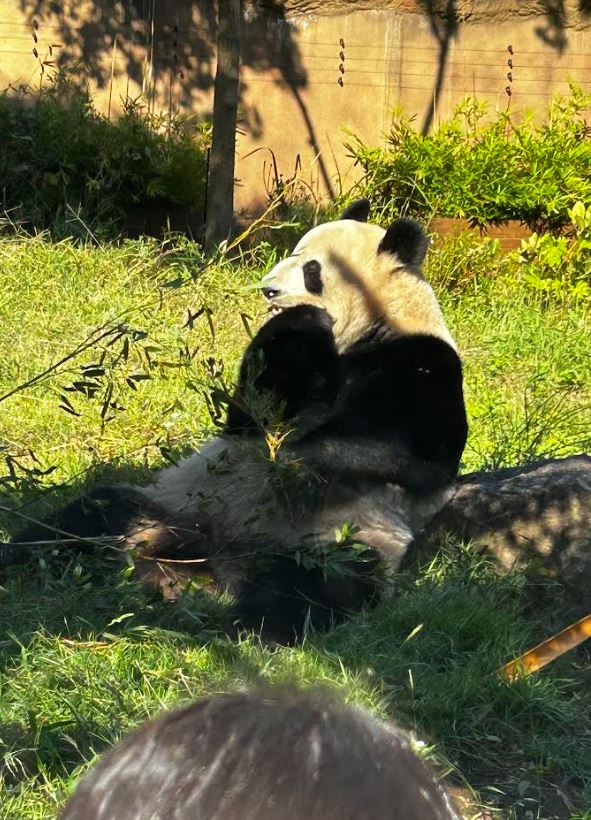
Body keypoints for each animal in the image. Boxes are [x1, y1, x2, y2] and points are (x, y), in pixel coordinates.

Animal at [11, 202, 470, 644]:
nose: (269, 289)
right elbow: (251, 414)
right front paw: (298, 325)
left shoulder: (421, 364)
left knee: (316, 584)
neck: (368, 329)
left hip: (344, 535)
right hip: (176, 502)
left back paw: (249, 626)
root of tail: (218, 562)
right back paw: (25, 558)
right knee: (93, 514)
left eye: (313, 270)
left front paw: (301, 459)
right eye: (293, 254)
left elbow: (409, 454)